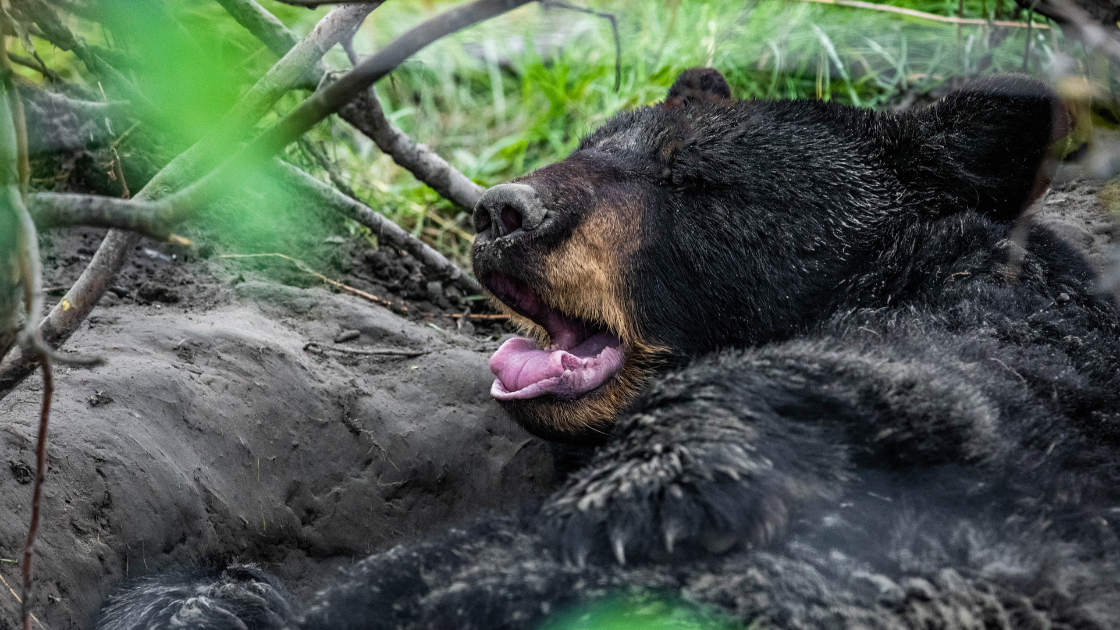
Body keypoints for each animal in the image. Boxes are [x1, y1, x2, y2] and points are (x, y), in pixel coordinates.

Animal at [94, 69, 1120, 627]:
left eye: (699, 181)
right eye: (591, 141)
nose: (503, 213)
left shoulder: (992, 344)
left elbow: (906, 379)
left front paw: (640, 493)